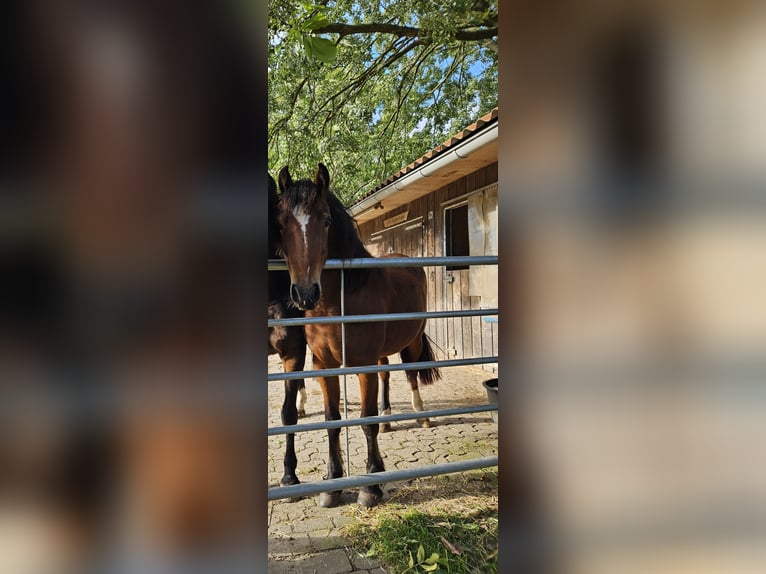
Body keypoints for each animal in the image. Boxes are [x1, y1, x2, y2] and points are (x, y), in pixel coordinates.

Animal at [278, 163, 444, 508]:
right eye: (281, 222)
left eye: (326, 220)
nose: (305, 294)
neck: (337, 302)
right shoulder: (323, 366)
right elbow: (332, 420)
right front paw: (333, 485)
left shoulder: (362, 365)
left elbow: (366, 422)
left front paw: (371, 486)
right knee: (386, 375)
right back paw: (388, 417)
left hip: (412, 342)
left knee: (411, 374)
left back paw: (421, 415)